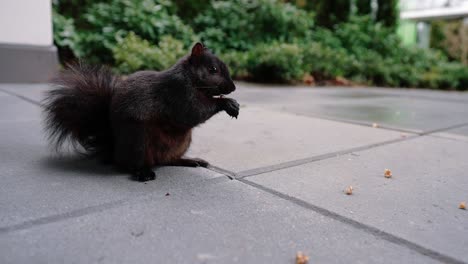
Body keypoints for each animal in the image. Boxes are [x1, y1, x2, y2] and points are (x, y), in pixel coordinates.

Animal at [43, 43, 238, 183]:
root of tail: (115, 151)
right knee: (131, 164)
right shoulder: (178, 93)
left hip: (181, 142)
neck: (191, 79)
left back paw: (191, 161)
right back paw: (143, 172)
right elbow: (193, 113)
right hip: (138, 139)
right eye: (213, 70)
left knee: (167, 160)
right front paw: (227, 103)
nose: (233, 88)